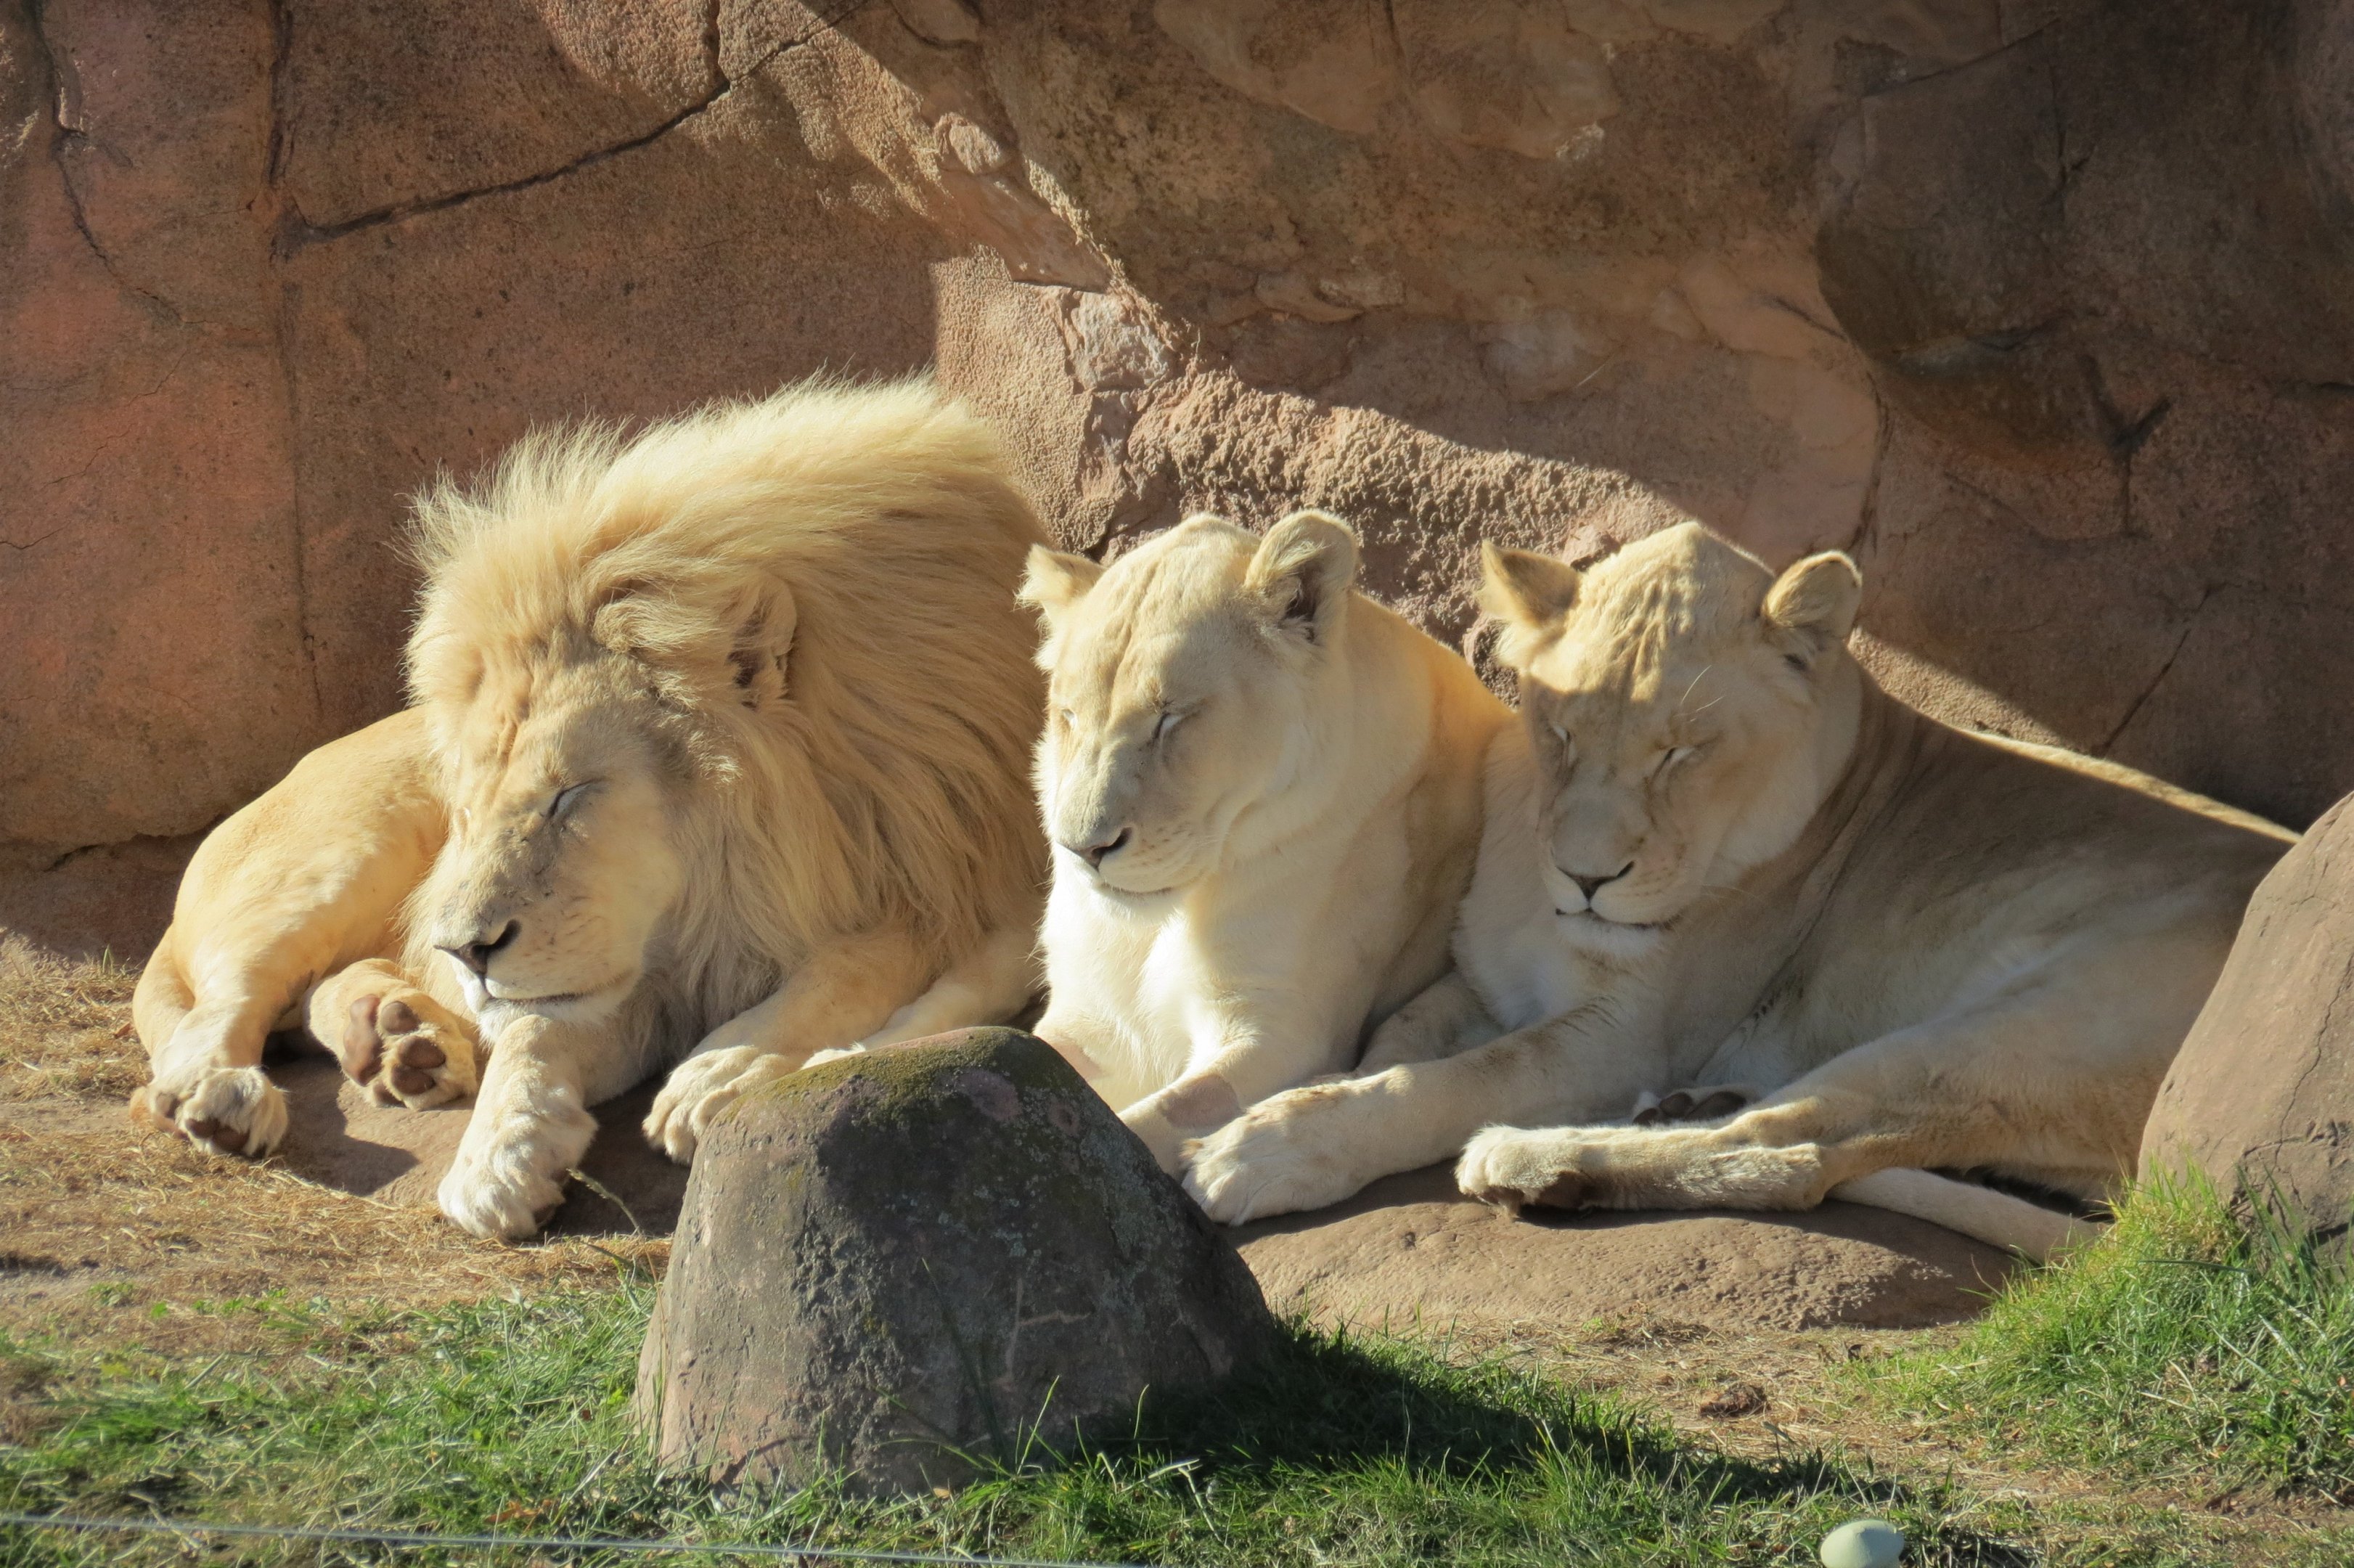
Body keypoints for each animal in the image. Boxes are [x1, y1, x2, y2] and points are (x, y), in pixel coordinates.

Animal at [133, 379, 1049, 1238]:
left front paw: (726, 1068)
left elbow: (860, 962)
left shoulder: (957, 883)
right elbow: (538, 1026)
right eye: (469, 807)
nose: (468, 951)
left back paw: (399, 1038)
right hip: (337, 855)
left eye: (569, 795)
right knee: (227, 1002)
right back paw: (230, 1092)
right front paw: (499, 1155)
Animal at [1020, 510, 1511, 1171]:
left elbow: (1155, 1120)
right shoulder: (1085, 1024)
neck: (1157, 922)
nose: (1084, 849)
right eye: (1069, 716)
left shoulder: (1281, 1032)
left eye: (1171, 716)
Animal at [1182, 521, 2292, 1258]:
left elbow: (1440, 1086)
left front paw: (1266, 1150)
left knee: (1793, 1151)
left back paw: (1541, 1162)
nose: (1587, 877)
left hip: (2021, 1024)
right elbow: (1399, 1044)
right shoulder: (1481, 981)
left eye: (1683, 752)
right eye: (1559, 729)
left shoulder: (1625, 1035)